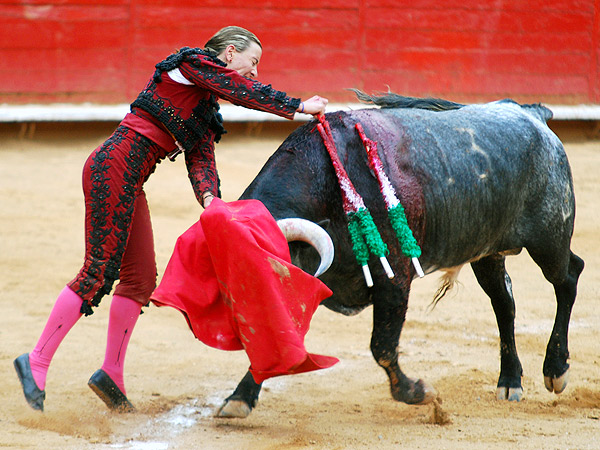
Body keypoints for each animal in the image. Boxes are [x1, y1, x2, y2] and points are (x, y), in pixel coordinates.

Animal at [214, 91, 580, 418]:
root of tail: (531, 114)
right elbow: (278, 346)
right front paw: (239, 399)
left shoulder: (393, 279)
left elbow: (383, 347)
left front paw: (420, 392)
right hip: (486, 252)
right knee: (504, 303)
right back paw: (510, 381)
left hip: (550, 237)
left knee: (568, 277)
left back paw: (556, 370)